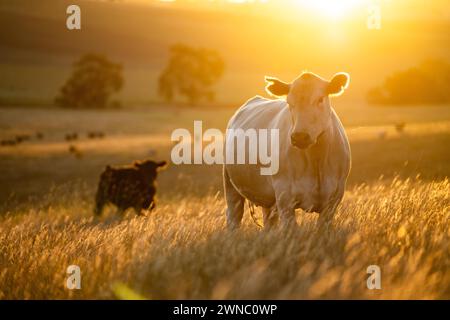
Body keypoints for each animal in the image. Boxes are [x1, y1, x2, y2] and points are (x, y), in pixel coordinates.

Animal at [224, 71, 352, 229]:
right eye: (289, 103)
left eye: (320, 99)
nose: (300, 136)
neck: (316, 159)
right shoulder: (284, 198)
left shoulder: (333, 200)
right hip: (230, 185)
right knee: (233, 217)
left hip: (268, 198)